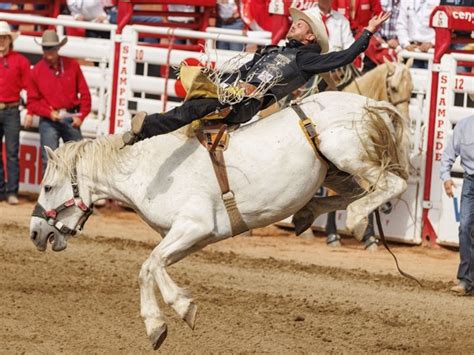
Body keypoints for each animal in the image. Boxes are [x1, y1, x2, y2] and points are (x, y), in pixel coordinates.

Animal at [28, 91, 408, 350]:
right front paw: (157, 325)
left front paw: (180, 309)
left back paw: (355, 221)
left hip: (348, 156)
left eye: (47, 186)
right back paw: (307, 214)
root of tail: (369, 103)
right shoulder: (194, 238)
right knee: (355, 192)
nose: (35, 232)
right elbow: (151, 266)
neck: (144, 170)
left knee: (390, 185)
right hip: (335, 172)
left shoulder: (193, 227)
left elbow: (150, 264)